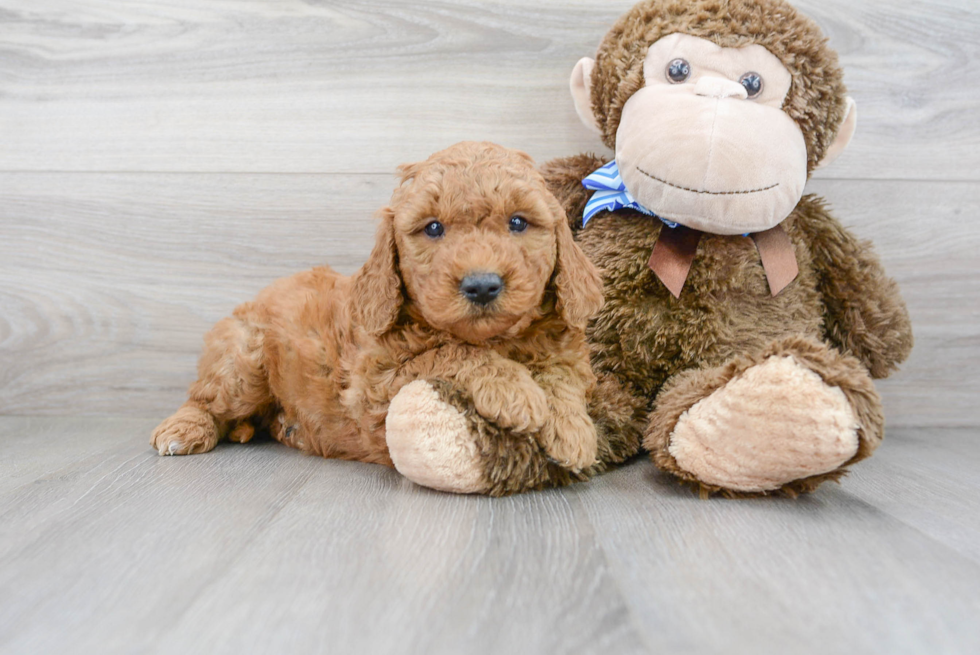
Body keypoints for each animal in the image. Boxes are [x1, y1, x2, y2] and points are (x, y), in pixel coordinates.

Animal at [151, 141, 604, 494]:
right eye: (433, 228)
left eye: (518, 222)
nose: (481, 286)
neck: (497, 340)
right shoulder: (374, 384)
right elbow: (448, 352)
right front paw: (515, 391)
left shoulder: (568, 354)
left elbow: (561, 375)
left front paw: (572, 431)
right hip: (242, 360)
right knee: (204, 398)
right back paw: (183, 431)